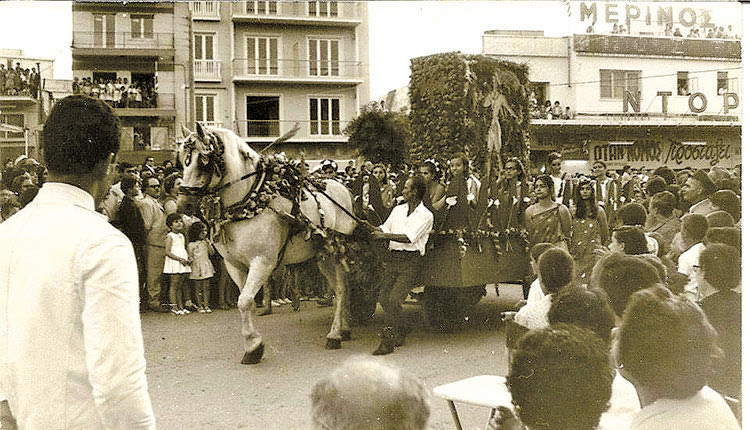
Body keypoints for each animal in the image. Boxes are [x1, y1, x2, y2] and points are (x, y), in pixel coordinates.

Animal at [179, 123, 362, 362]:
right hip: (322, 256)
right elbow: (243, 301)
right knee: (345, 287)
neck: (249, 201)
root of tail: (342, 187)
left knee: (341, 289)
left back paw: (334, 334)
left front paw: (254, 346)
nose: (183, 204)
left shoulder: (262, 262)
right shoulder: (234, 265)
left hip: (336, 253)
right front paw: (252, 346)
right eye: (182, 159)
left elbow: (245, 301)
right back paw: (346, 327)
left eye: (203, 160)